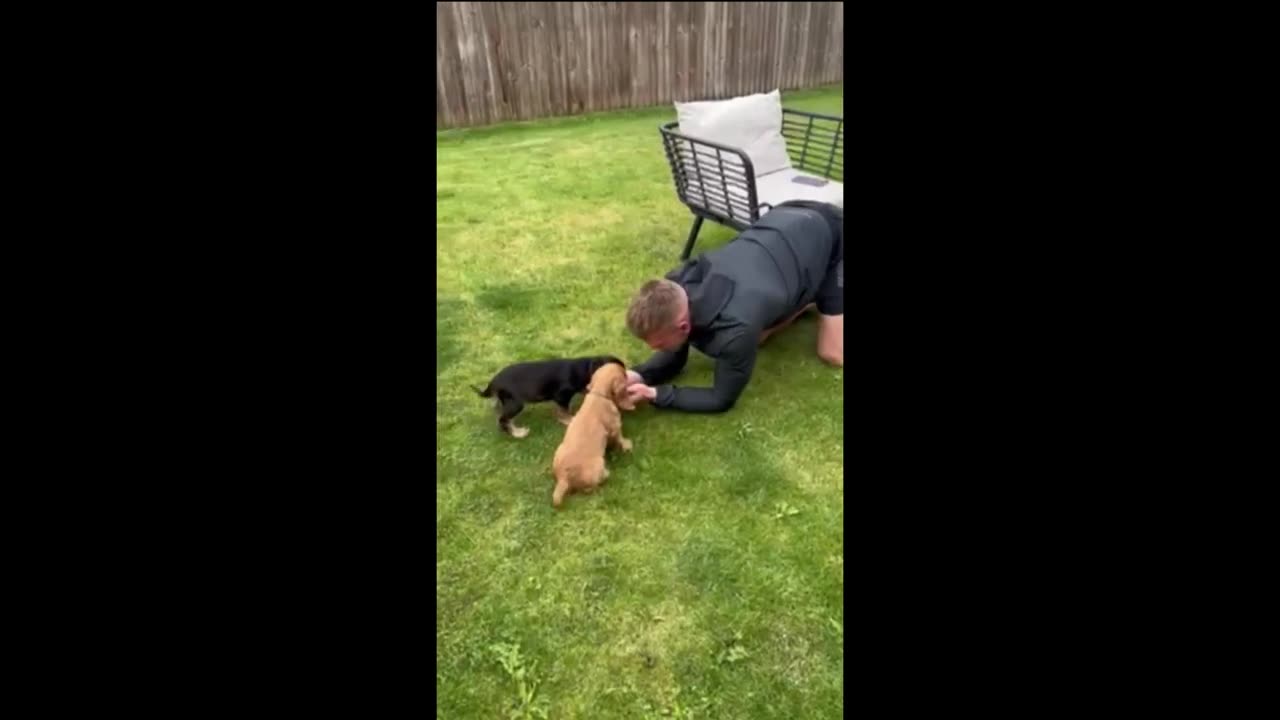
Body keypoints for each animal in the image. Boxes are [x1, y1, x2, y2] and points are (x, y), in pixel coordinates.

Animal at [476, 353, 624, 438]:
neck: (584, 368)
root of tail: (493, 382)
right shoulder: (561, 396)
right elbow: (564, 411)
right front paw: (569, 420)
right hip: (516, 404)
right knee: (502, 420)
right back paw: (518, 433)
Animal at [550, 356, 634, 504]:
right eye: (623, 373)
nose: (628, 374)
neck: (598, 393)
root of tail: (563, 479)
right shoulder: (615, 427)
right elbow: (620, 438)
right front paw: (627, 445)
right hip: (599, 463)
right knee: (589, 489)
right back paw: (606, 475)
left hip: (559, 450)